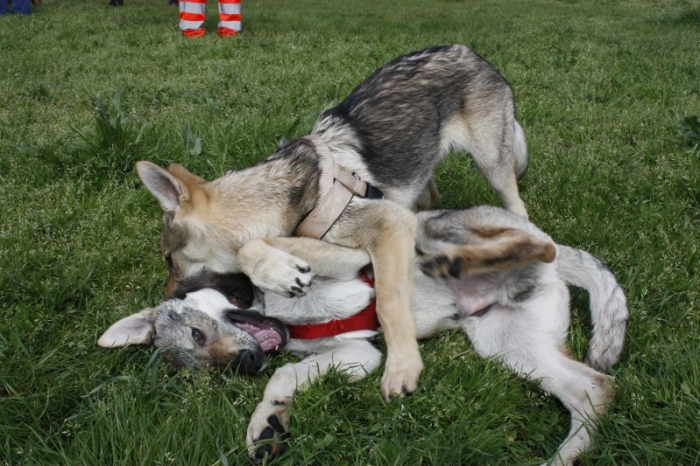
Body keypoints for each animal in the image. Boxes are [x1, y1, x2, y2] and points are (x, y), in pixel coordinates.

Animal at [100, 208, 628, 466]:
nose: (247, 364)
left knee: (530, 243)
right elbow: (285, 376)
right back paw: (562, 459)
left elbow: (257, 248)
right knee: (594, 389)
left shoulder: (345, 258)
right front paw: (268, 423)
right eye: (209, 371)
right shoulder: (359, 353)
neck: (275, 310)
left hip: (442, 228)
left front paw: (271, 265)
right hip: (507, 344)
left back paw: (458, 259)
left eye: (196, 331)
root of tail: (558, 263)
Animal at [134, 44, 528, 400]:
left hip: (492, 165)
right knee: (428, 196)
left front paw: (402, 366)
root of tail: (470, 51)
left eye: (169, 260)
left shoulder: (387, 225)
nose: (166, 303)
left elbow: (389, 302)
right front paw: (279, 269)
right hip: (419, 168)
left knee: (516, 206)